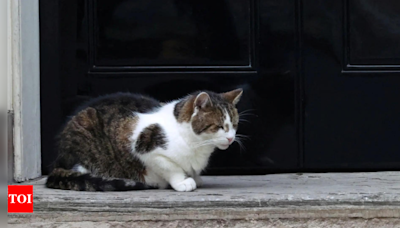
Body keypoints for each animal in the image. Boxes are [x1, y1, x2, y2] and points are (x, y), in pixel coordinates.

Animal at [45, 88, 242, 191]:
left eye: (234, 124)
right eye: (219, 126)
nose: (231, 138)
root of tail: (58, 160)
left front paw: (194, 176)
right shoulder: (146, 148)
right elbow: (171, 168)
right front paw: (182, 181)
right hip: (86, 129)